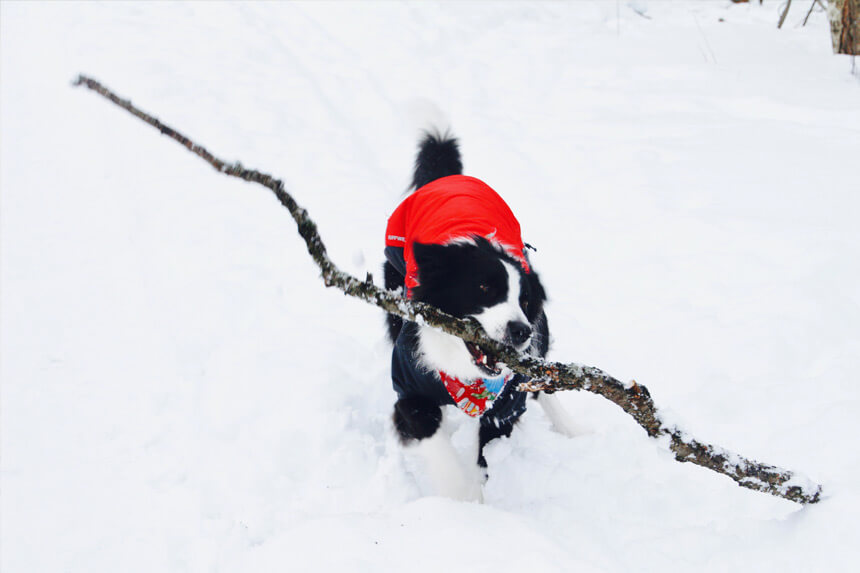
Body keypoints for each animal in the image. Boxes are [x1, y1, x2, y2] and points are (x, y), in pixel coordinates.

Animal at [382, 132, 576, 498]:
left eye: (524, 301)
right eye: (484, 288)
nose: (520, 331)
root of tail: (448, 178)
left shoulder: (507, 401)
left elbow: (487, 448)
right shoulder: (409, 388)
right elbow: (435, 441)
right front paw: (463, 502)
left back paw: (574, 428)